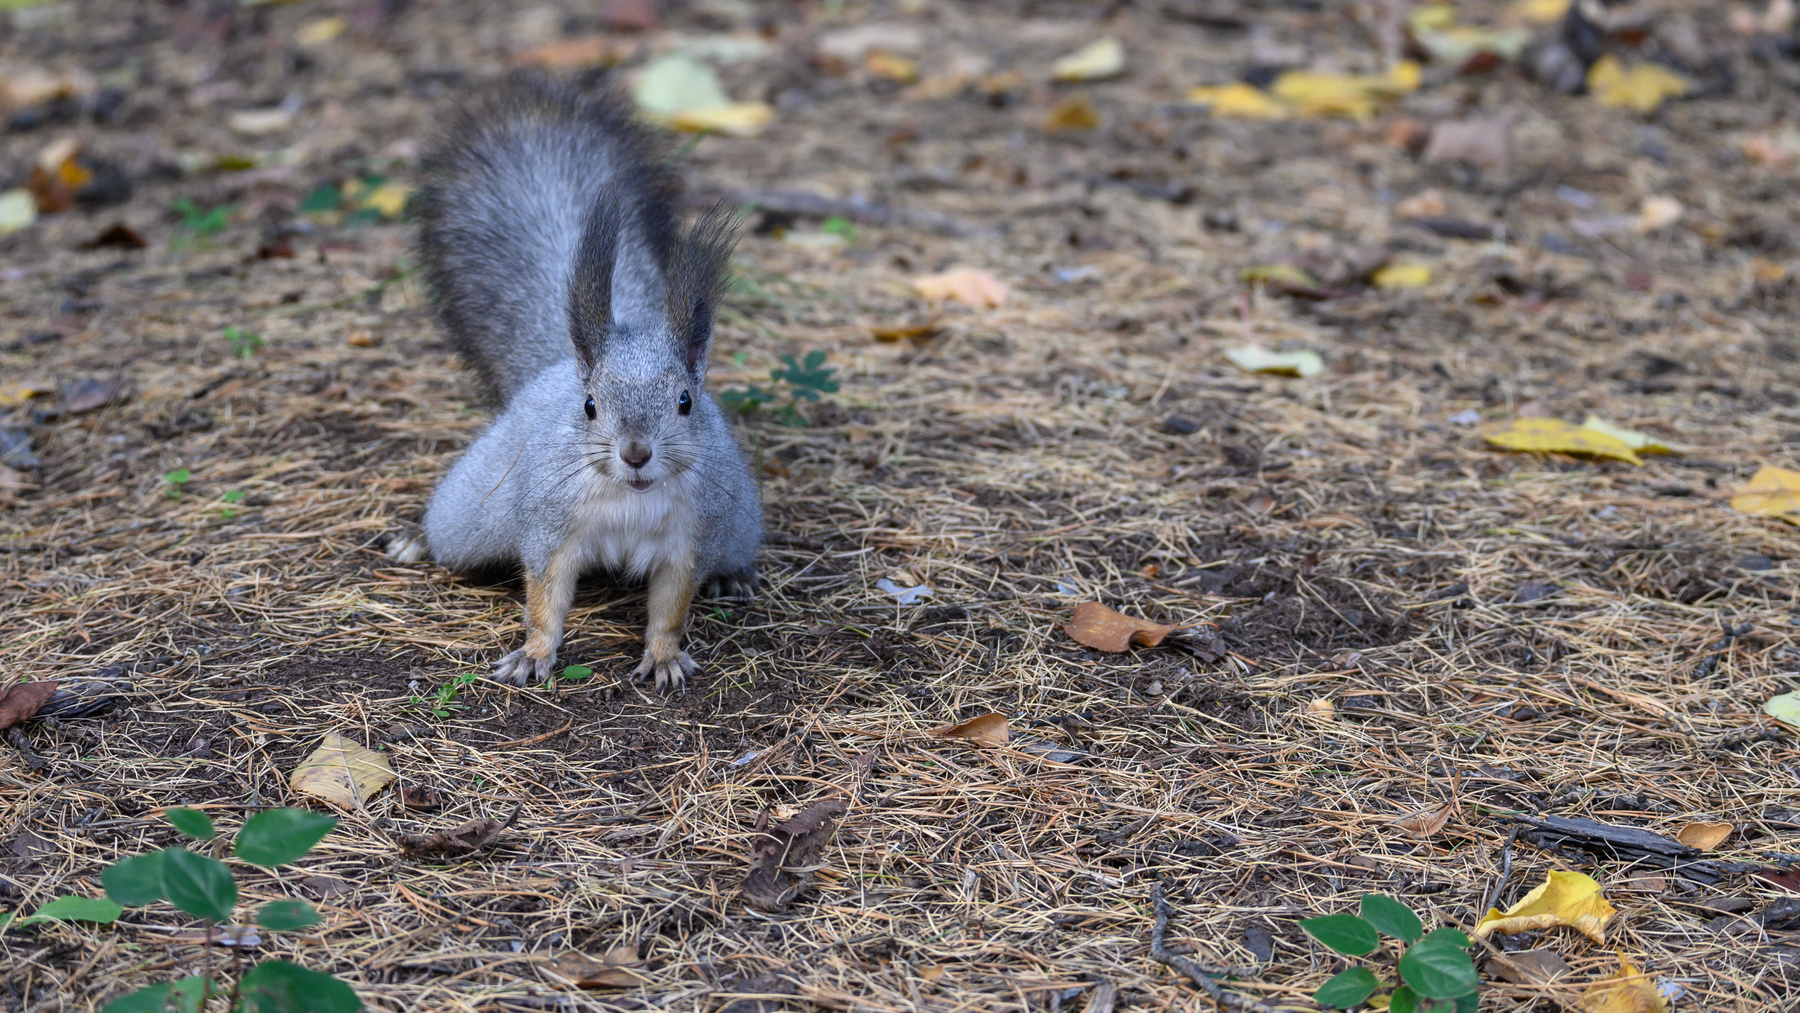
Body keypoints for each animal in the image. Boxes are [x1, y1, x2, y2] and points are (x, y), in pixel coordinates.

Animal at [387, 75, 761, 692]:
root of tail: (551, 369)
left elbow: (671, 608)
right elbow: (545, 596)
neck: (632, 497)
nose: (635, 454)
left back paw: (735, 575)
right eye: (589, 406)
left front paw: (664, 656)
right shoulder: (550, 527)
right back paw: (417, 539)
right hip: (476, 509)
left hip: (739, 520)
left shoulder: (689, 541)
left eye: (687, 401)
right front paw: (534, 652)